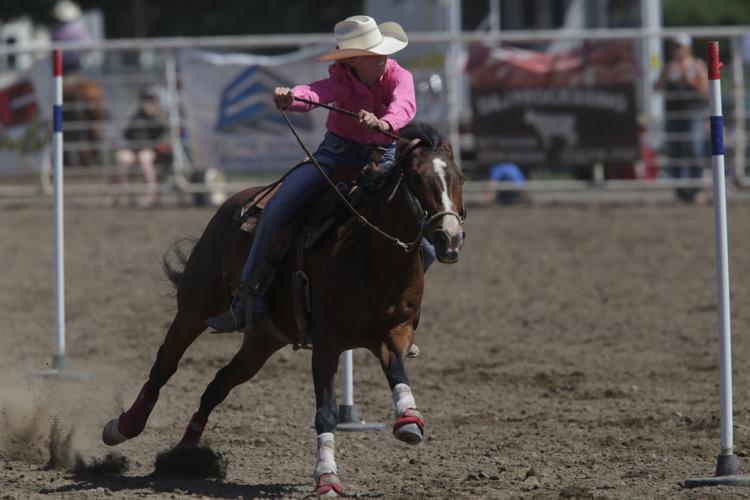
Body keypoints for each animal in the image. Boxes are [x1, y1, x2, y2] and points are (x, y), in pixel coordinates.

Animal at [100, 122, 464, 496]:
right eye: (417, 179)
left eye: (459, 178)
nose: (449, 238)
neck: (372, 255)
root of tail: (233, 202)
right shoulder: (327, 343)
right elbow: (326, 412)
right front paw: (327, 477)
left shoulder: (395, 333)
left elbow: (399, 375)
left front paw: (409, 420)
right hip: (193, 310)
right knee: (165, 365)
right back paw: (124, 426)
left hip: (263, 340)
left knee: (218, 384)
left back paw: (186, 455)